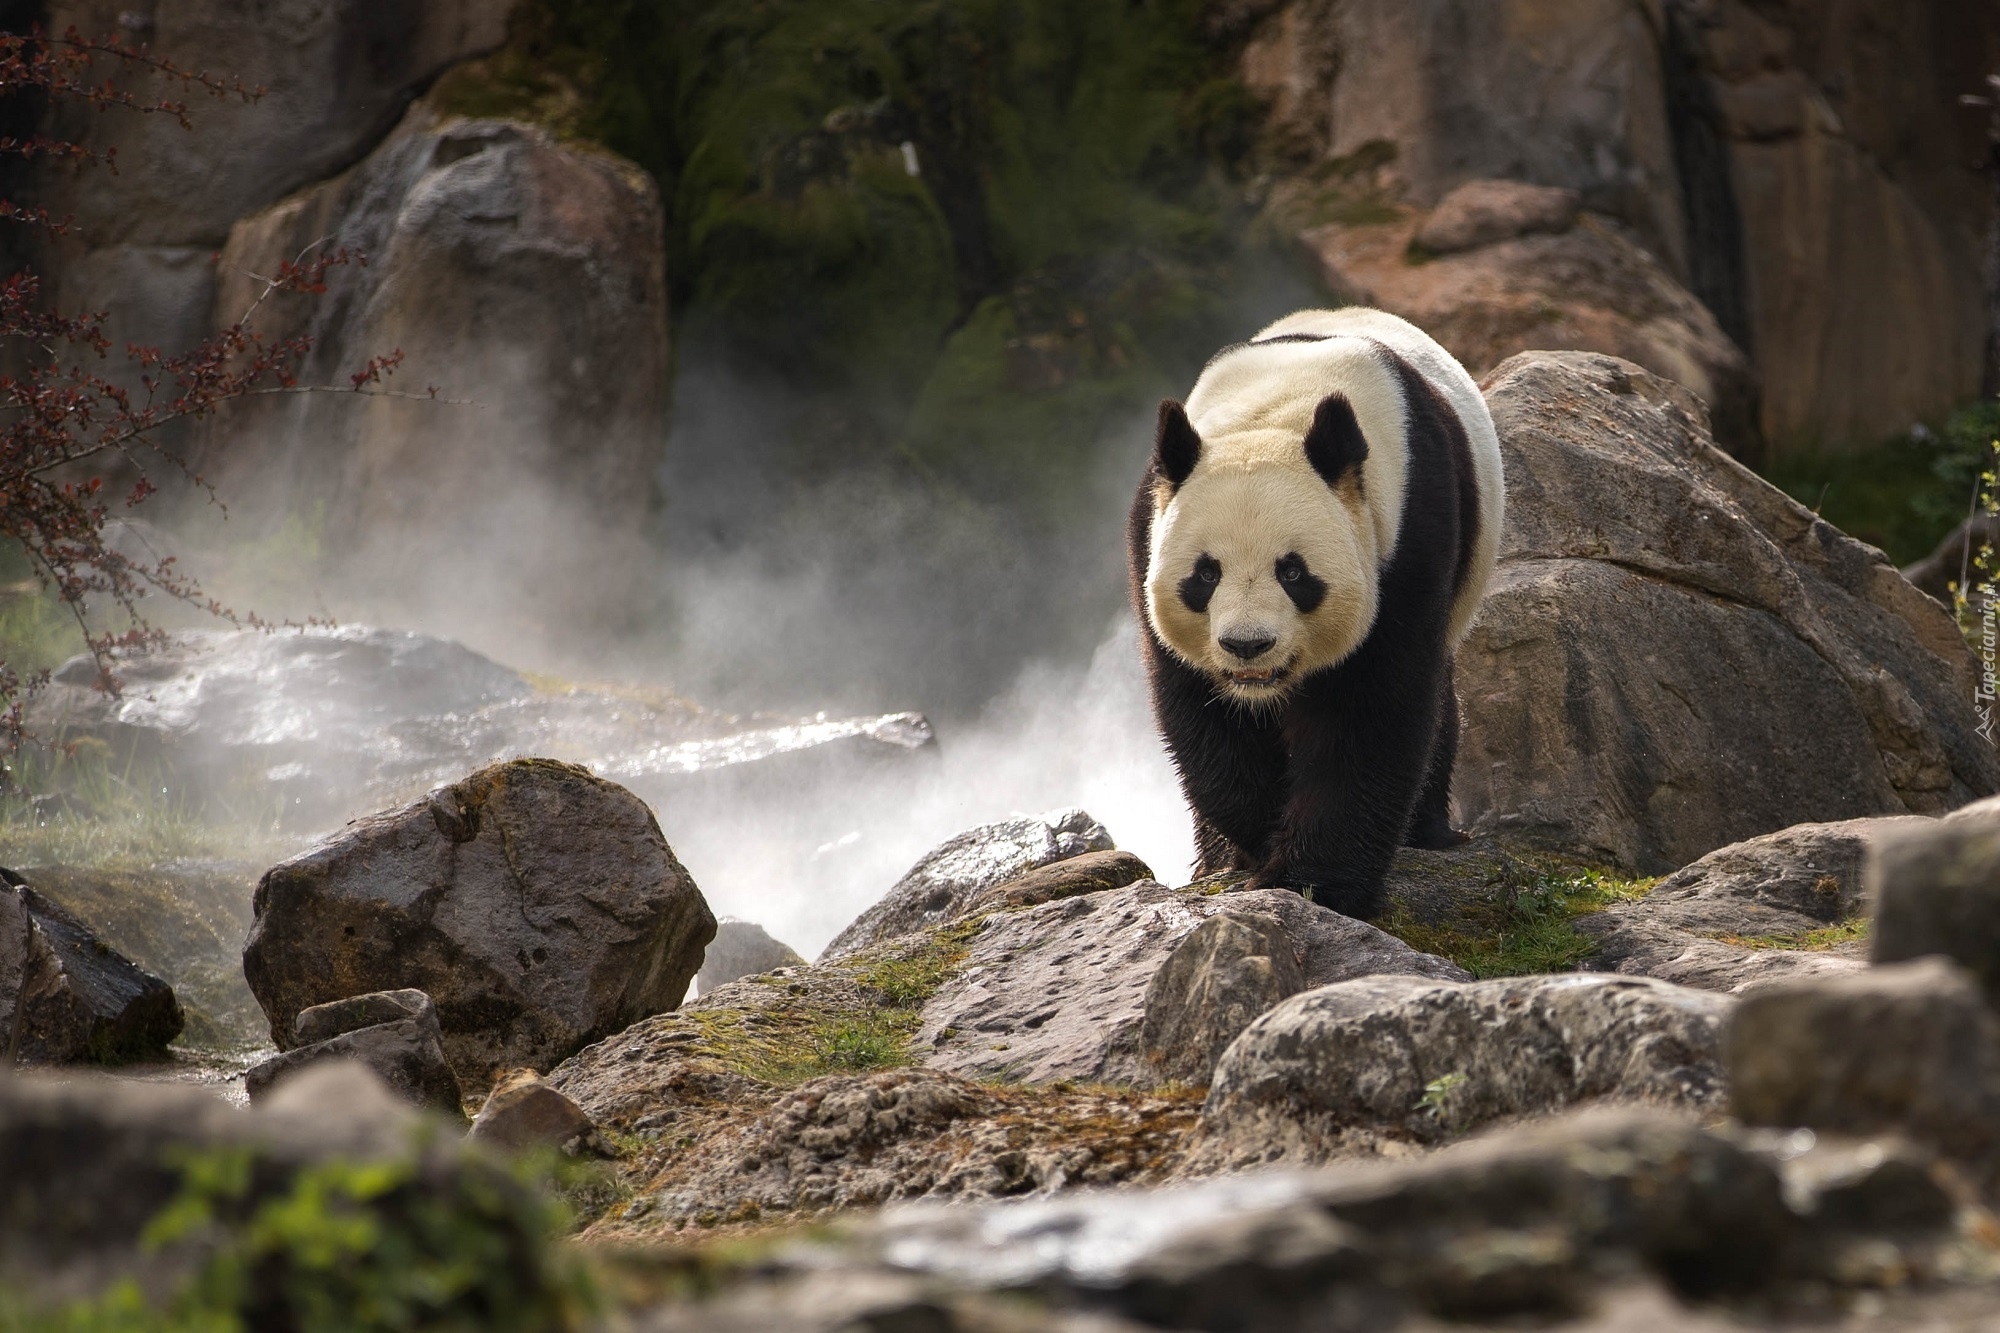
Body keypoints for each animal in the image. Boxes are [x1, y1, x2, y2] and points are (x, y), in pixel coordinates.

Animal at [1128, 306, 1504, 920]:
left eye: (1293, 572)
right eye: (1205, 575)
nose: (1248, 645)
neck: (1274, 415)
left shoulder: (1405, 537)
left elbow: (1369, 712)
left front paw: (1316, 882)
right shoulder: (1150, 536)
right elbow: (1204, 716)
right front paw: (1259, 841)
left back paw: (1428, 831)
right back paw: (1214, 858)